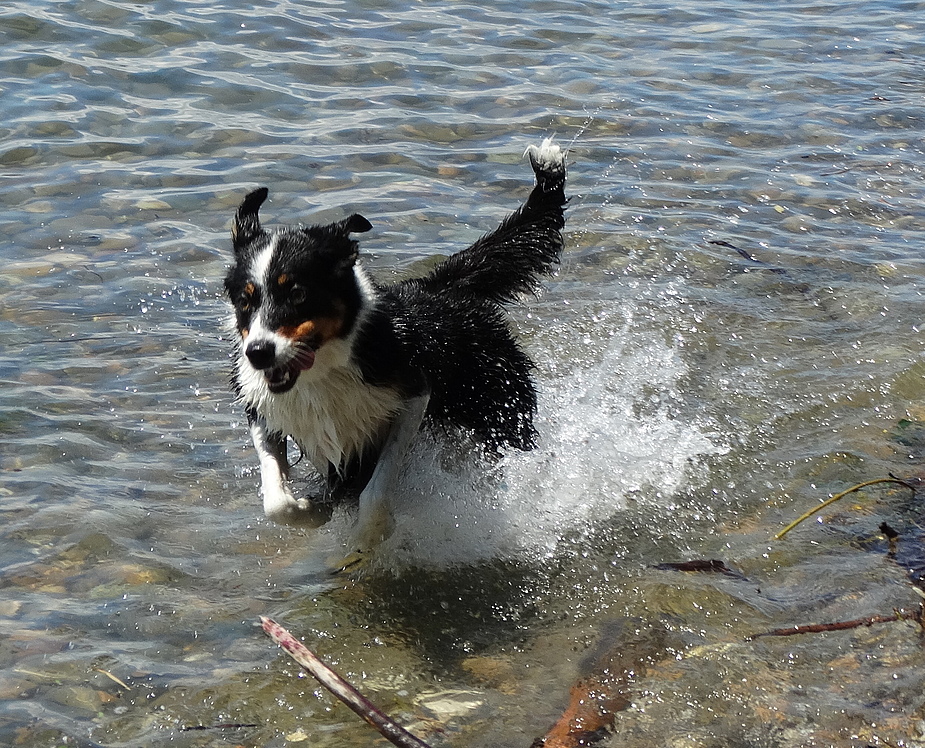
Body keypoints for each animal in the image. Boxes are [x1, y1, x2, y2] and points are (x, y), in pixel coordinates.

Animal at [227, 142, 568, 548]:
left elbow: (376, 489)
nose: (258, 353)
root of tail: (439, 286)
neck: (324, 370)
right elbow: (276, 502)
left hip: (502, 412)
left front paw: (368, 537)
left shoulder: (413, 395)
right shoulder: (262, 407)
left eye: (297, 293)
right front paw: (314, 508)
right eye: (245, 301)